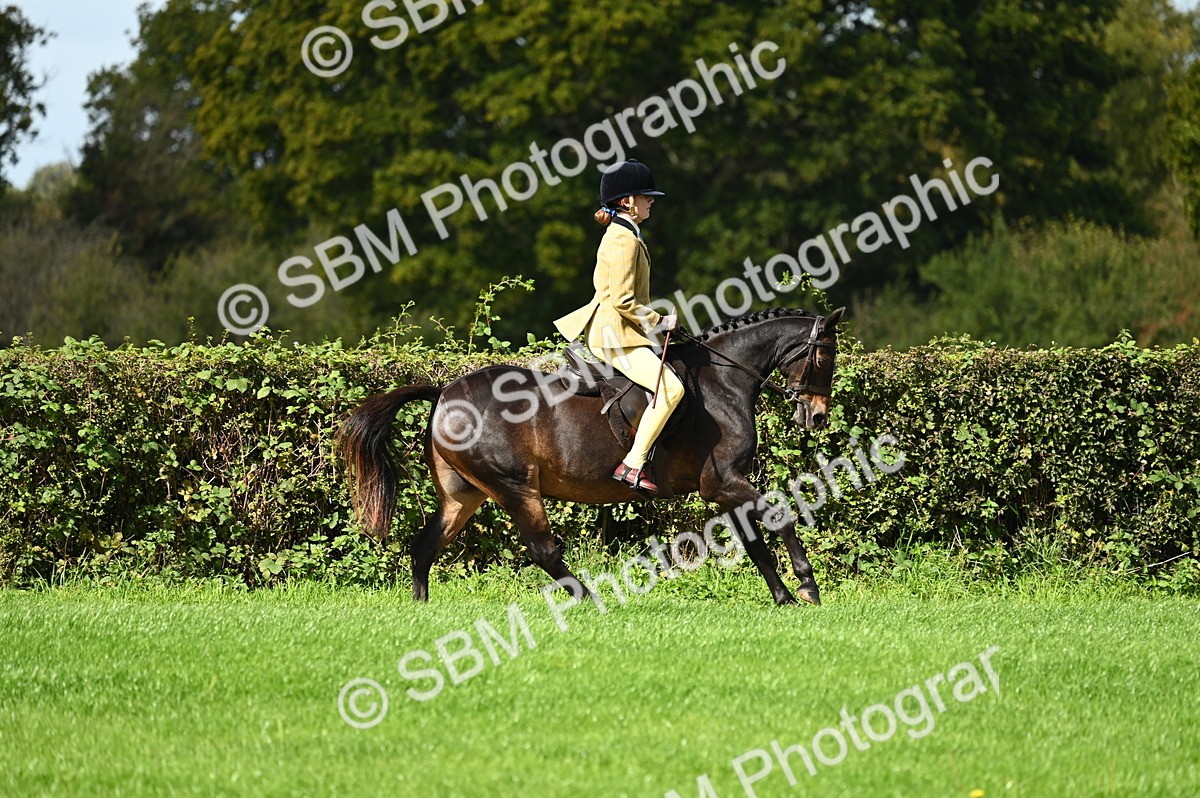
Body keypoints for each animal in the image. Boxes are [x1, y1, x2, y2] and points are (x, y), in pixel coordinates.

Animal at [338, 307, 845, 606]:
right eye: (825, 358)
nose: (818, 416)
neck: (724, 381)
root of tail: (444, 393)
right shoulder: (723, 482)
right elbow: (779, 517)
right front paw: (806, 587)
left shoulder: (725, 489)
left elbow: (756, 541)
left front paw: (784, 596)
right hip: (515, 488)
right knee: (543, 550)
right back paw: (591, 599)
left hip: (463, 494)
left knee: (425, 547)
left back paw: (420, 606)